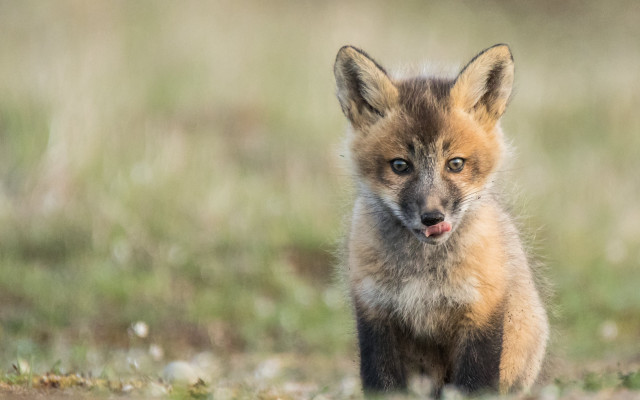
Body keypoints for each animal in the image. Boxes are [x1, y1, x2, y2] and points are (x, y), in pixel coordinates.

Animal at [333, 44, 549, 397]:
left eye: (456, 164)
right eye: (400, 166)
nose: (432, 217)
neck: (425, 275)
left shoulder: (481, 312)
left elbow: (474, 385)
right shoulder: (375, 312)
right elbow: (381, 383)